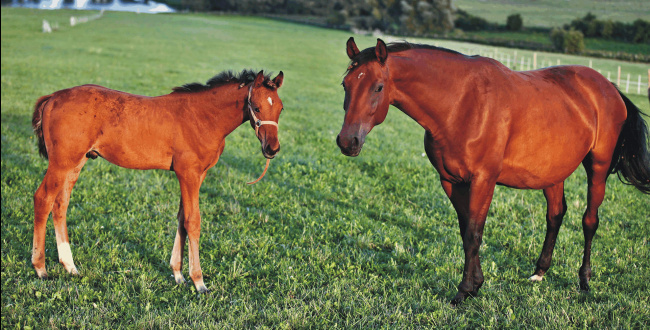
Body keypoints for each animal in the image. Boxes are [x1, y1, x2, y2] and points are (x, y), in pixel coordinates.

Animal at [31, 69, 284, 292]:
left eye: (280, 108)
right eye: (257, 107)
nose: (272, 148)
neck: (202, 116)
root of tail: (53, 97)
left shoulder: (196, 175)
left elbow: (181, 218)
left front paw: (178, 274)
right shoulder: (189, 174)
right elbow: (193, 221)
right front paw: (199, 281)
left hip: (75, 163)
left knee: (60, 205)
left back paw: (70, 266)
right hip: (61, 163)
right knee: (43, 199)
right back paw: (40, 268)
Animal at [336, 37, 644, 306]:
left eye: (378, 87)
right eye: (345, 84)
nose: (347, 141)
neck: (461, 103)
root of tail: (608, 87)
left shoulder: (484, 180)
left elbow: (474, 233)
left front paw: (465, 291)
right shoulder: (451, 181)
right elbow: (466, 232)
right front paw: (476, 285)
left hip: (598, 167)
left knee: (590, 221)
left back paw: (584, 281)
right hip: (552, 173)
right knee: (555, 216)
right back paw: (539, 272)